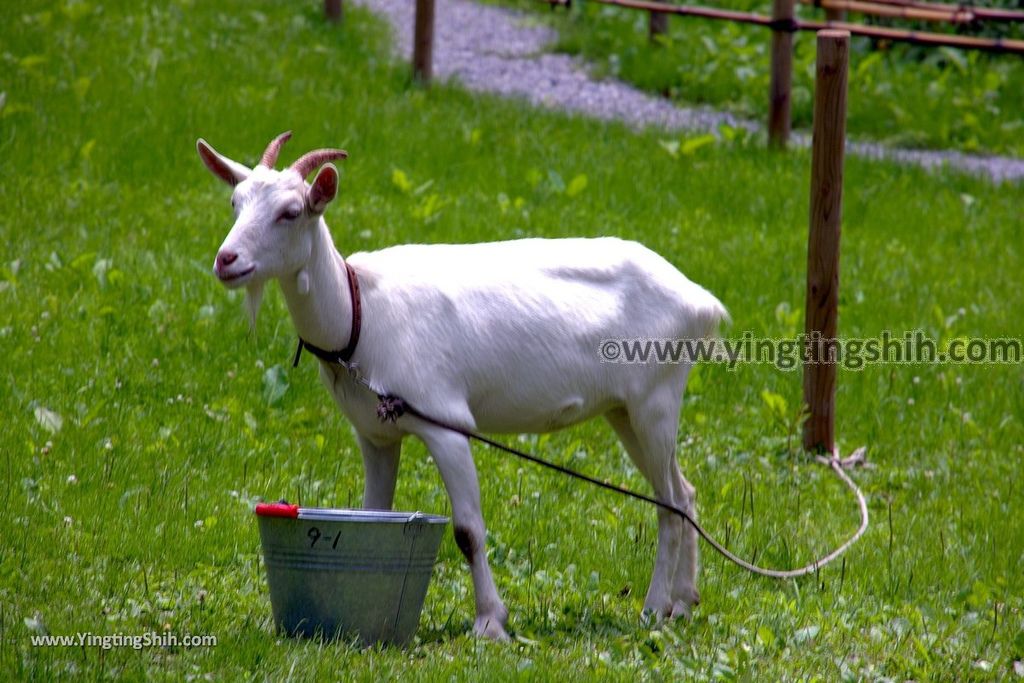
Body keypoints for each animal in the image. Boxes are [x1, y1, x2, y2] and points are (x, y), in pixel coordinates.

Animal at [197, 133, 729, 643]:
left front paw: (490, 623)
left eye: (291, 212)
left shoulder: (446, 421)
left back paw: (653, 609)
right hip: (625, 411)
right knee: (685, 493)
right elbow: (374, 512)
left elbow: (469, 530)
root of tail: (701, 301)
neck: (358, 314)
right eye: (236, 202)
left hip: (655, 400)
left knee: (668, 503)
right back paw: (683, 603)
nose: (227, 260)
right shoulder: (375, 435)